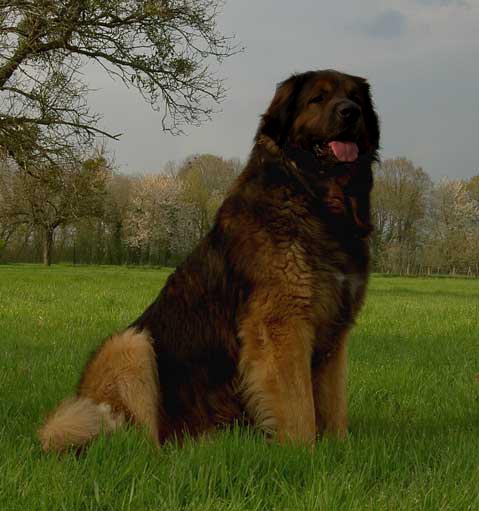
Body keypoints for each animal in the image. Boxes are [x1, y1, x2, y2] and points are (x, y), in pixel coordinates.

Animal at [39, 69, 380, 452]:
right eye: (317, 99)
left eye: (354, 97)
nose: (350, 112)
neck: (311, 196)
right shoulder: (283, 325)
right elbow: (299, 407)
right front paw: (302, 453)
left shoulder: (335, 331)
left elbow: (333, 403)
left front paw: (339, 449)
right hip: (130, 344)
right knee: (141, 439)